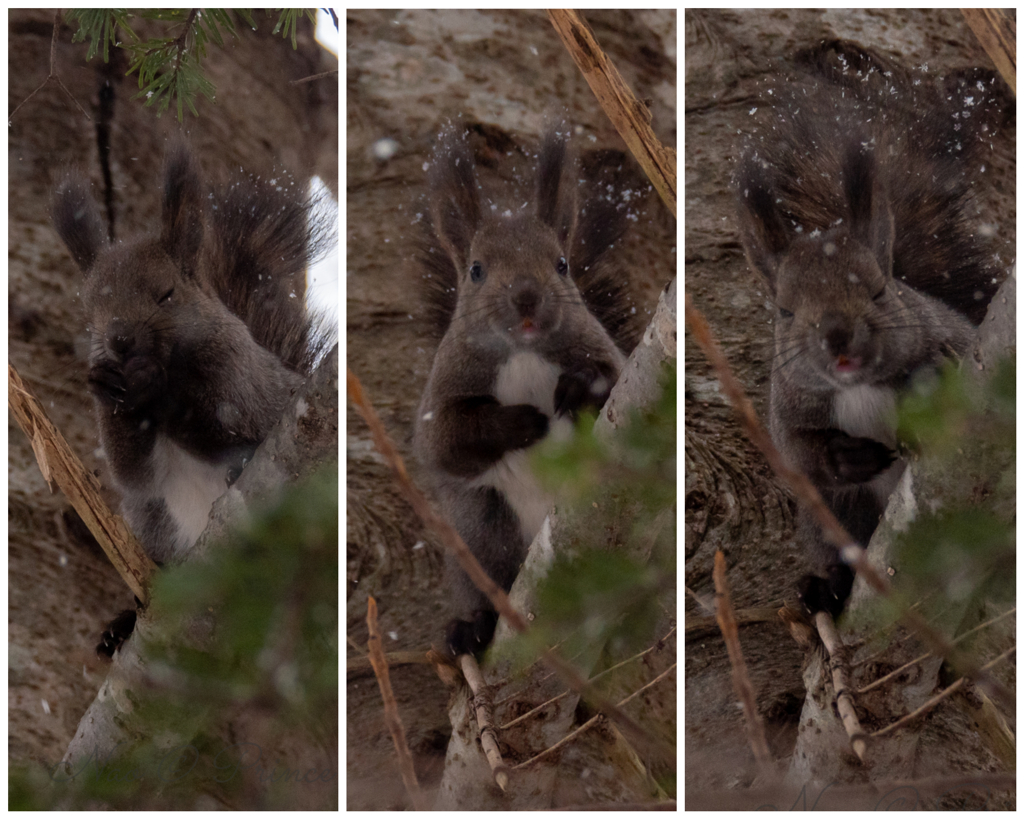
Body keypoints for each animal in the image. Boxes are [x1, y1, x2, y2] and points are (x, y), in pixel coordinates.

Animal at [52, 142, 331, 577]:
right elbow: (133, 475)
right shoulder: (140, 476)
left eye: (166, 295)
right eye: (90, 310)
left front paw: (155, 390)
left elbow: (227, 423)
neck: (173, 364)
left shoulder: (241, 374)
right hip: (153, 522)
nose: (119, 340)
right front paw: (107, 386)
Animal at [409, 121, 634, 655]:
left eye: (561, 264)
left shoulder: (610, 357)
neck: (524, 353)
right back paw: (471, 628)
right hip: (479, 532)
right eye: (476, 270)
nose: (527, 296)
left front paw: (576, 390)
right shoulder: (442, 394)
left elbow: (613, 379)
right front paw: (518, 420)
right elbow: (443, 441)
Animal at [737, 38, 1007, 614]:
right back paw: (824, 589)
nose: (837, 335)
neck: (858, 386)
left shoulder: (958, 338)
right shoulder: (786, 408)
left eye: (881, 290)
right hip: (836, 517)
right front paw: (847, 454)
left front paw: (933, 377)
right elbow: (797, 455)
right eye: (784, 311)